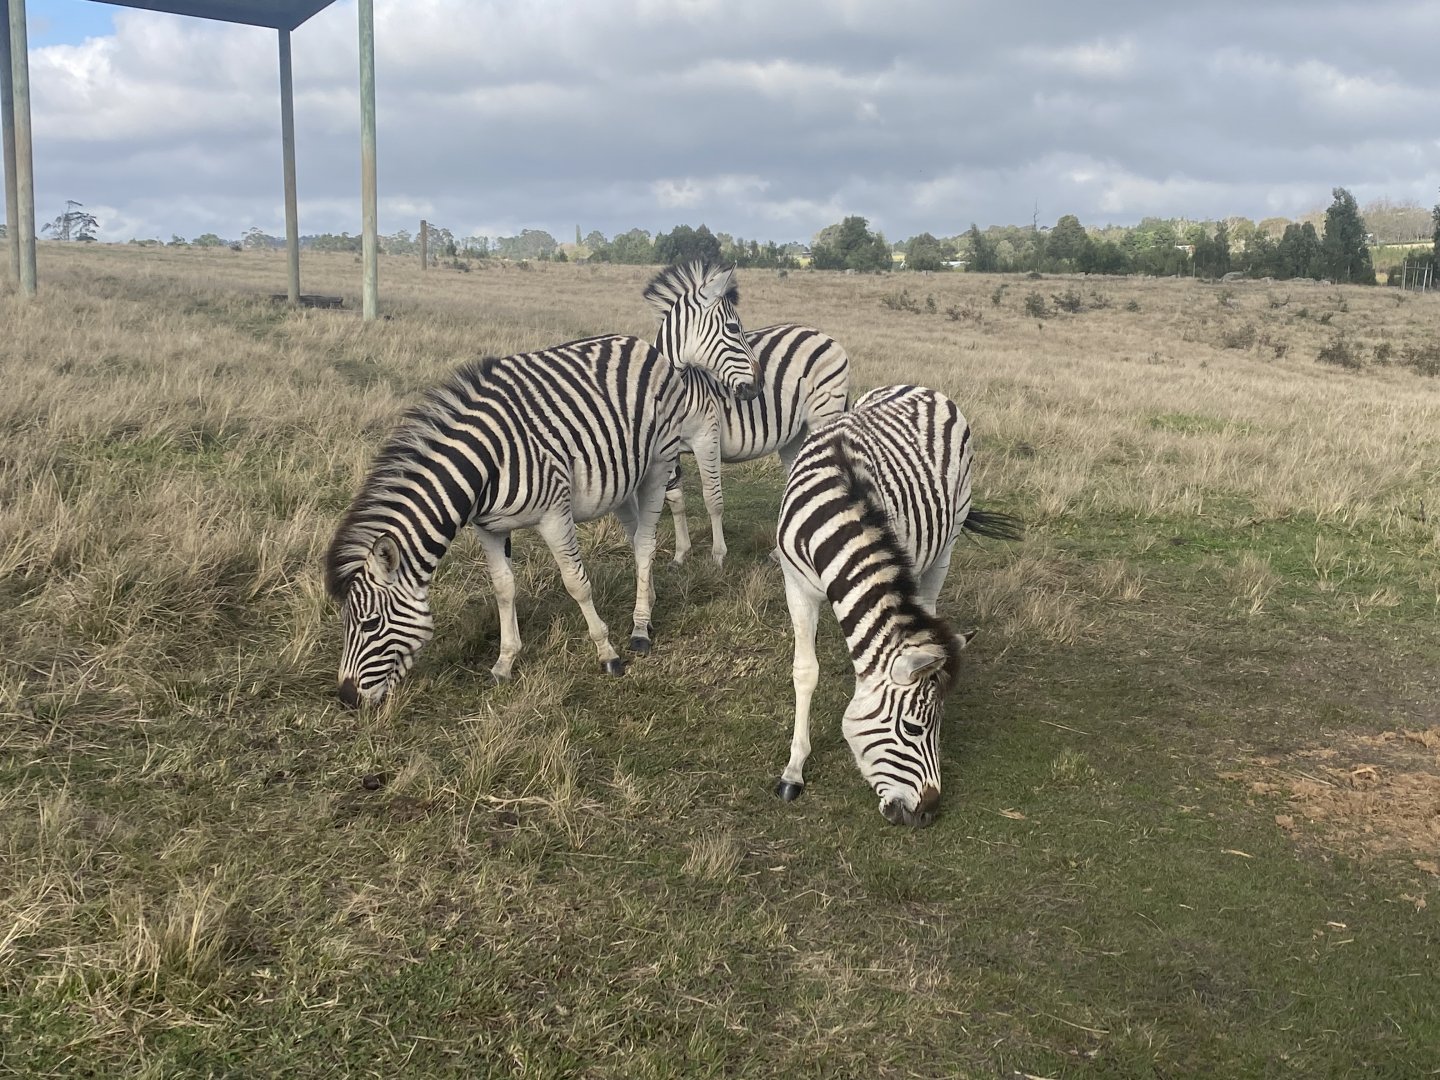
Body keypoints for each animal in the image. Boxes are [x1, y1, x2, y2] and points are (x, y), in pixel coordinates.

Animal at [325, 260, 759, 708]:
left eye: (370, 623)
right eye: (347, 622)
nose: (345, 697)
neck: (485, 464)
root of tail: (640, 344)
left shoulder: (554, 515)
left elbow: (576, 583)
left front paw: (607, 652)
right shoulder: (488, 528)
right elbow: (503, 588)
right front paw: (504, 662)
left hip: (658, 464)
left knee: (644, 543)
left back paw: (639, 629)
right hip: (624, 477)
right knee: (638, 533)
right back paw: (649, 605)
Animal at [665, 323, 850, 566]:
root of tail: (823, 335)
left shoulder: (706, 437)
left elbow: (712, 497)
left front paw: (718, 556)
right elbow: (675, 499)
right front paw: (680, 554)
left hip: (824, 414)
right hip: (795, 434)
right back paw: (780, 553)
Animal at [772, 384, 1020, 826]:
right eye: (912, 729)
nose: (927, 813)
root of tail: (924, 388)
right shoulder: (795, 586)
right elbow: (805, 672)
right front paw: (794, 770)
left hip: (946, 542)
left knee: (930, 604)